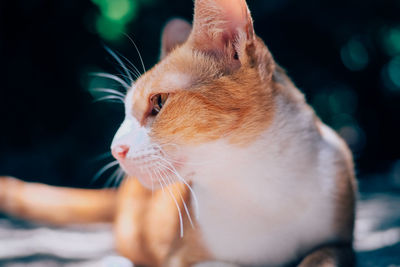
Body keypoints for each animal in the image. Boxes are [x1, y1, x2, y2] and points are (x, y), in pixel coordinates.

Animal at [0, 0, 356, 267]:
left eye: (158, 102)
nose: (116, 149)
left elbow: (323, 257)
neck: (260, 184)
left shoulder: (340, 242)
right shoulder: (181, 259)